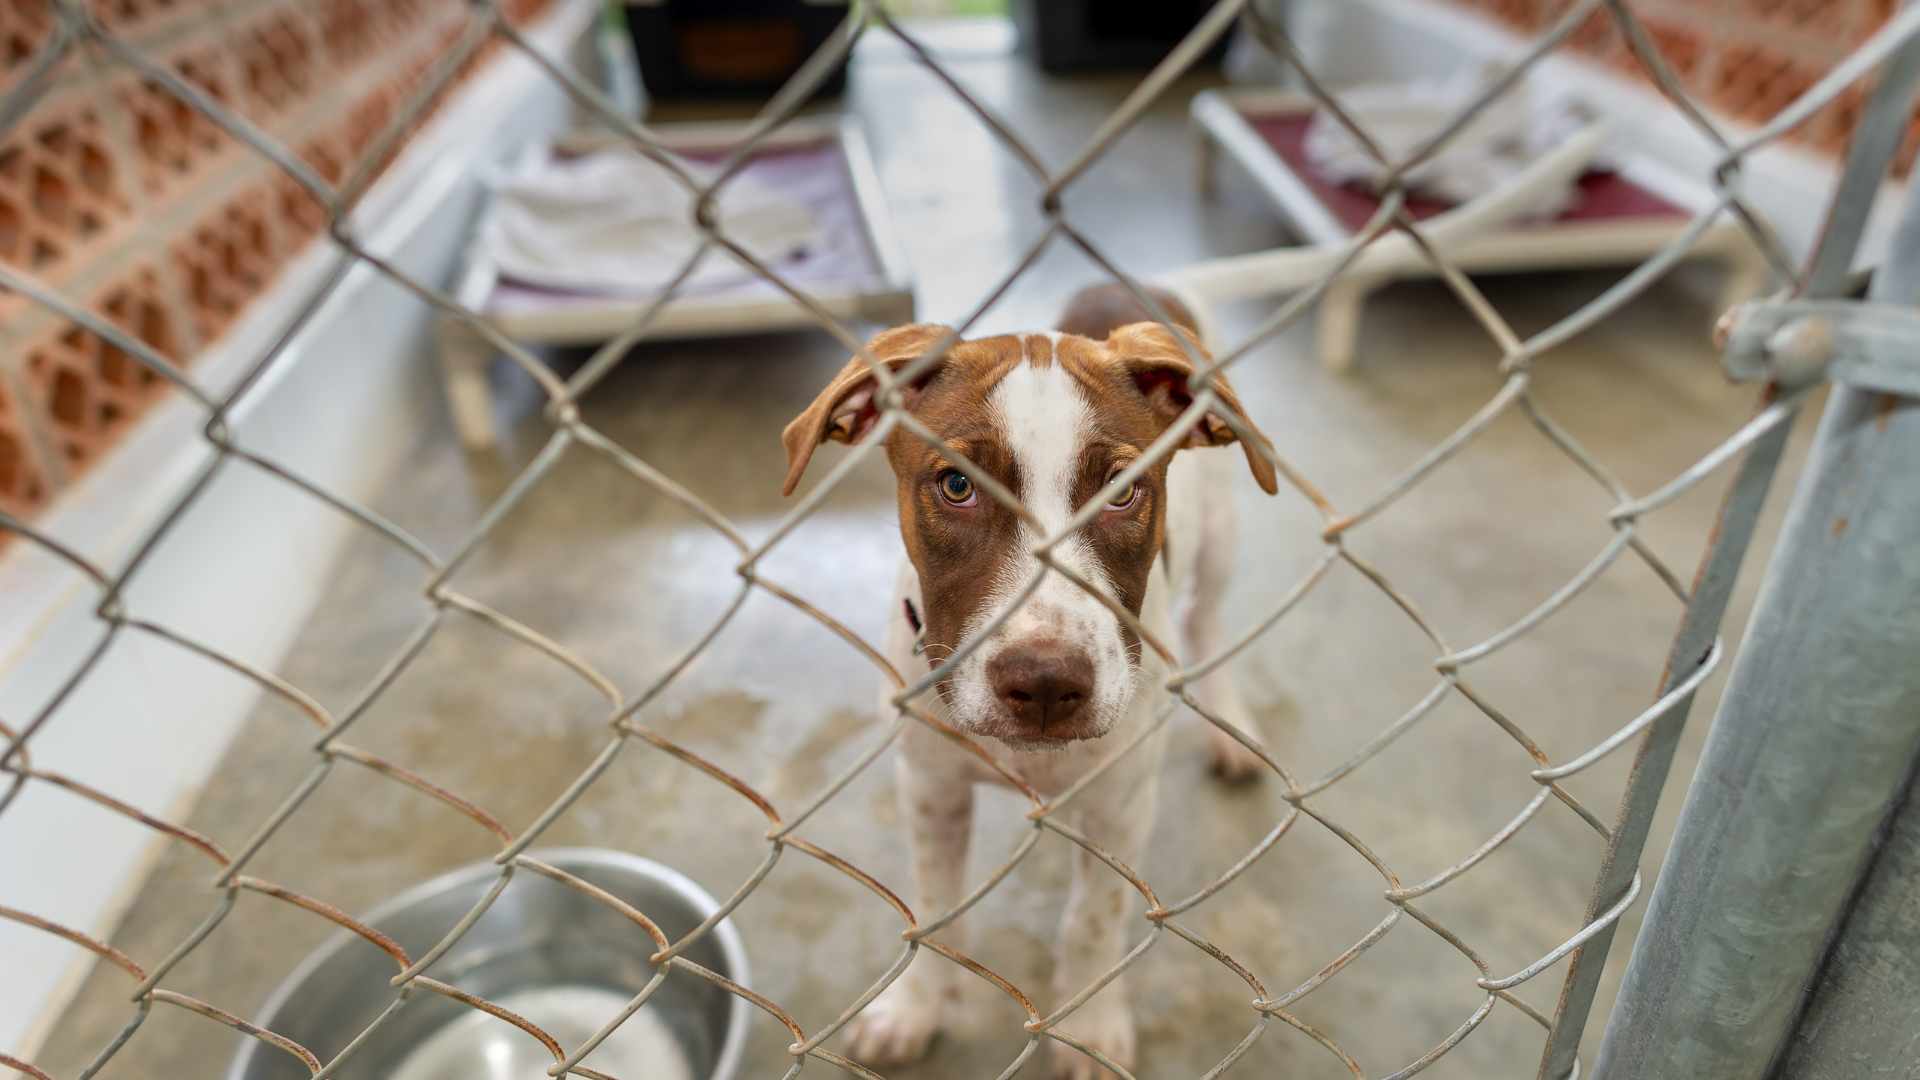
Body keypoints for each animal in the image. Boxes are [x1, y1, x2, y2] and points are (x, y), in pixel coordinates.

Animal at [779, 290, 1274, 1076]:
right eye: (956, 486)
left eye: (1123, 492)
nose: (1045, 685)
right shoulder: (929, 785)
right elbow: (934, 905)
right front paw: (917, 1007)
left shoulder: (1123, 802)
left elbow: (1093, 920)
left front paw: (1092, 1028)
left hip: (1220, 536)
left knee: (1209, 615)